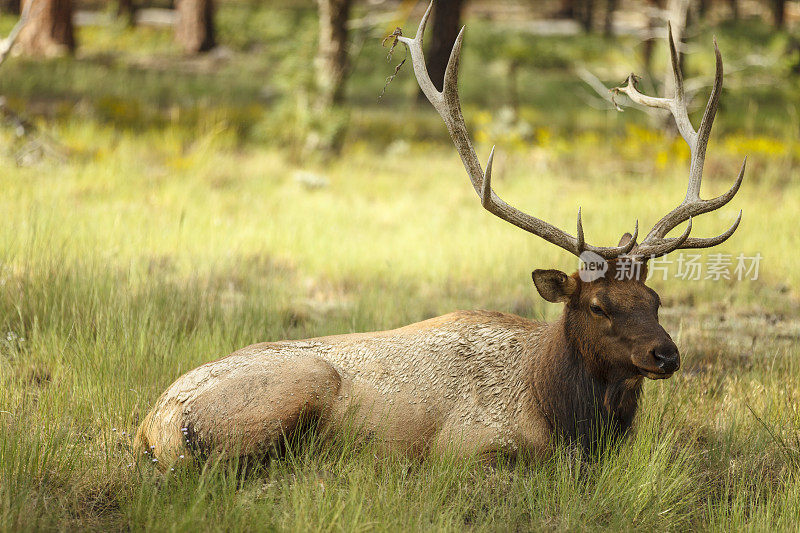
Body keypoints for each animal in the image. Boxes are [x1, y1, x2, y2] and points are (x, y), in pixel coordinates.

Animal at [136, 6, 744, 468]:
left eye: (655, 299)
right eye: (598, 306)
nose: (666, 354)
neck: (558, 411)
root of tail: (151, 424)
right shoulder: (470, 448)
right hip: (292, 390)